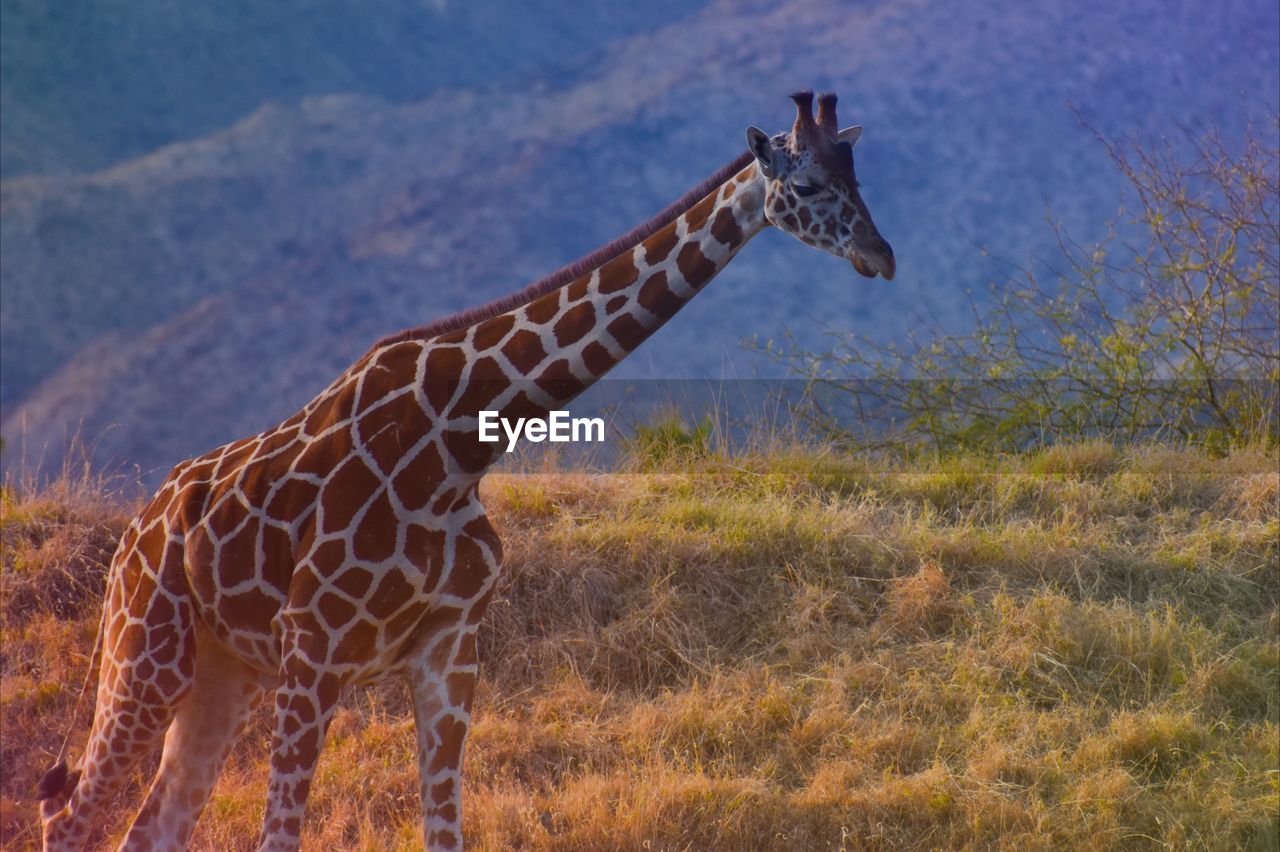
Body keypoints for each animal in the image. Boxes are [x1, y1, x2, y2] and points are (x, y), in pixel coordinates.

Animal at [40, 89, 896, 844]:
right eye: (809, 185)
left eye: (859, 178)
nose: (881, 256)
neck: (458, 444)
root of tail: (134, 534)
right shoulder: (313, 648)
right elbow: (279, 835)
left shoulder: (449, 648)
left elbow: (443, 828)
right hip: (146, 653)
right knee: (71, 814)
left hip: (222, 673)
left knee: (151, 825)